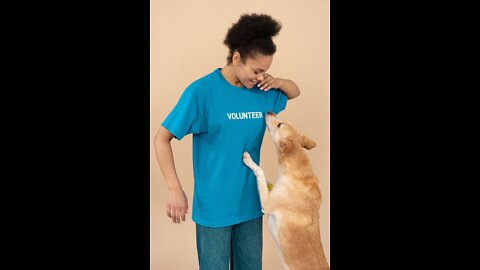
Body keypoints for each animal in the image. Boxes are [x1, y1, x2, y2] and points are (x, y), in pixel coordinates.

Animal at [244, 110, 330, 268]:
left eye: (279, 124)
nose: (270, 111)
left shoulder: (267, 204)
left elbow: (260, 172)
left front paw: (250, 161)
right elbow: (267, 180)